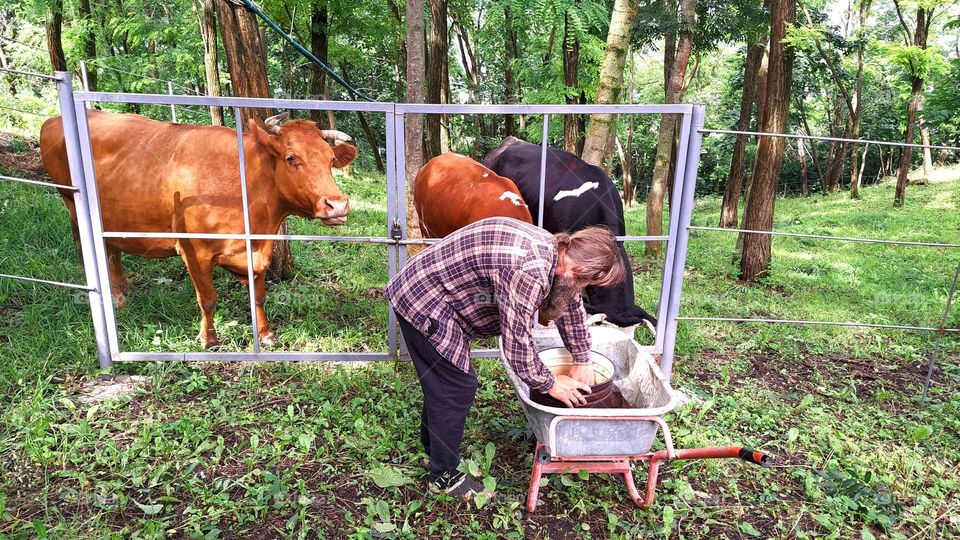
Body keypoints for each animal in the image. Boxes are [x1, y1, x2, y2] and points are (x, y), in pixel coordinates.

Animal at [40, 108, 356, 350]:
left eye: (330, 160)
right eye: (291, 158)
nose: (337, 205)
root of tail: (53, 120)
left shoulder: (257, 250)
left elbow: (259, 295)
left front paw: (266, 334)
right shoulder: (195, 251)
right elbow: (208, 299)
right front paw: (209, 339)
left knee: (112, 249)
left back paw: (123, 289)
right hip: (72, 204)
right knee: (93, 249)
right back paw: (115, 297)